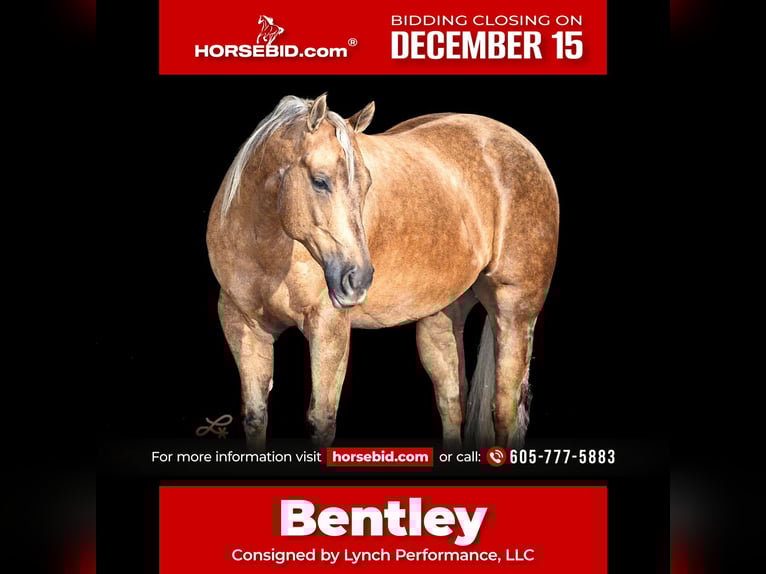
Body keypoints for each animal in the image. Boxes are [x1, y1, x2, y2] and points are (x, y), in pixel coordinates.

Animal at [206, 94, 559, 451]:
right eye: (319, 181)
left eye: (366, 185)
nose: (357, 280)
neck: (266, 245)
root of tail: (521, 146)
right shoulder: (243, 324)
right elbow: (255, 417)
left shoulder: (329, 326)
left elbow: (321, 421)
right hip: (441, 319)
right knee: (451, 403)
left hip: (514, 312)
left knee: (504, 410)